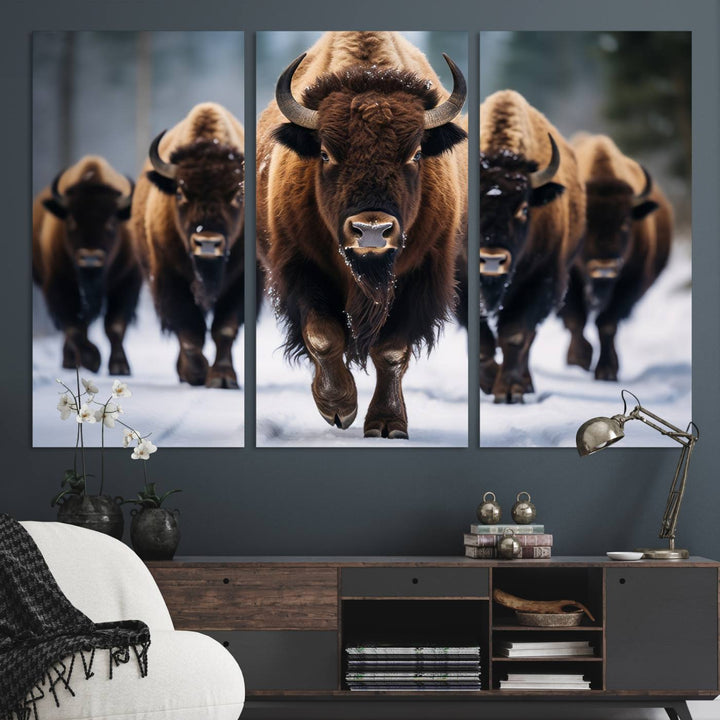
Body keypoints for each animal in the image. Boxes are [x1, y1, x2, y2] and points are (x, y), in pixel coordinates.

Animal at [32, 155, 139, 374]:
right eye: (72, 220)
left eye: (112, 222)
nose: (90, 258)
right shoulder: (58, 284)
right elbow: (74, 327)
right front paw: (92, 360)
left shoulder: (126, 282)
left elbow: (115, 326)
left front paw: (119, 367)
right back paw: (71, 361)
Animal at [131, 101, 253, 388]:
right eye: (180, 192)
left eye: (238, 195)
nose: (207, 242)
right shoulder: (170, 277)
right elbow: (189, 330)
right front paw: (196, 373)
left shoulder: (240, 281)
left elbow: (224, 328)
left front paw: (222, 377)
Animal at [256, 32, 470, 438]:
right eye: (325, 153)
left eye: (416, 153)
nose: (371, 230)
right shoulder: (300, 266)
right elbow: (322, 336)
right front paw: (339, 407)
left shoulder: (420, 275)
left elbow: (391, 350)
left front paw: (388, 423)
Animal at [478, 89, 584, 402]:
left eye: (524, 208)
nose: (491, 260)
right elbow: (483, 342)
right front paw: (489, 382)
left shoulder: (540, 280)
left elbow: (515, 335)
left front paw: (509, 391)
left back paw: (525, 383)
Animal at [560, 134, 672, 382]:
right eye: (586, 223)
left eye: (625, 222)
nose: (605, 267)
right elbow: (576, 319)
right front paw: (579, 360)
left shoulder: (629, 284)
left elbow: (607, 325)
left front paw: (607, 370)